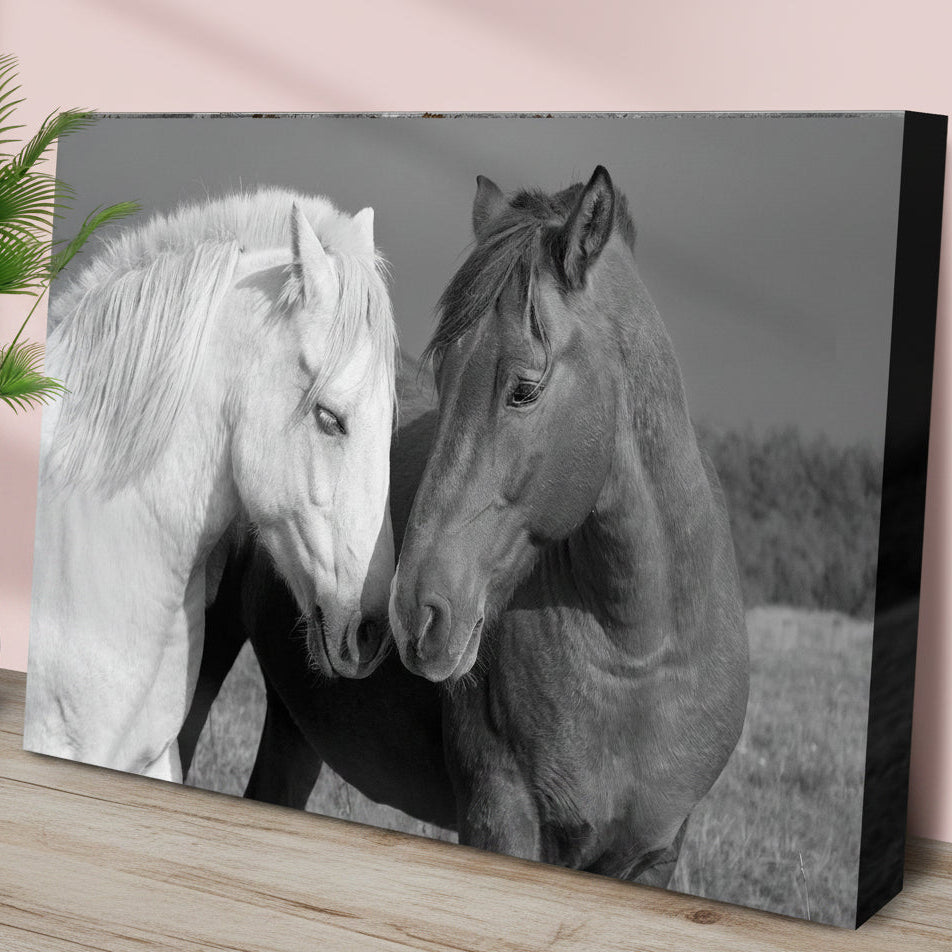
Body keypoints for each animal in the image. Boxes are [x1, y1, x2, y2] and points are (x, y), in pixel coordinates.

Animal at [389, 168, 750, 886]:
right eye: (441, 375)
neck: (640, 654)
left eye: (525, 389)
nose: (416, 611)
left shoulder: (653, 854)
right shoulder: (502, 817)